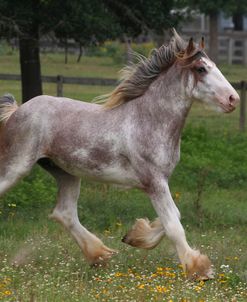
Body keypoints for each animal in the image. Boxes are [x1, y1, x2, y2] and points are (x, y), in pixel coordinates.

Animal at [0, 30, 239, 280]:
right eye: (201, 69)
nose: (233, 99)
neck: (148, 120)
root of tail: (17, 111)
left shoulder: (160, 181)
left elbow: (174, 215)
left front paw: (135, 236)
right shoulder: (154, 182)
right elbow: (173, 224)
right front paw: (199, 269)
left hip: (66, 172)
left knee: (64, 213)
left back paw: (100, 255)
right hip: (16, 166)